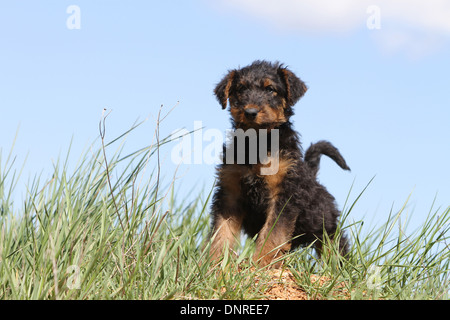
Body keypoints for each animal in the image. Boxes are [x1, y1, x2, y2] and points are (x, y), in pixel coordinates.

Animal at [209, 60, 350, 268]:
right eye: (241, 88)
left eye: (270, 89)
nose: (250, 112)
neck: (257, 143)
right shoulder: (229, 194)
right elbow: (222, 232)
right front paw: (215, 264)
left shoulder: (284, 196)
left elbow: (273, 235)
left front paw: (261, 264)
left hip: (326, 228)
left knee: (336, 249)